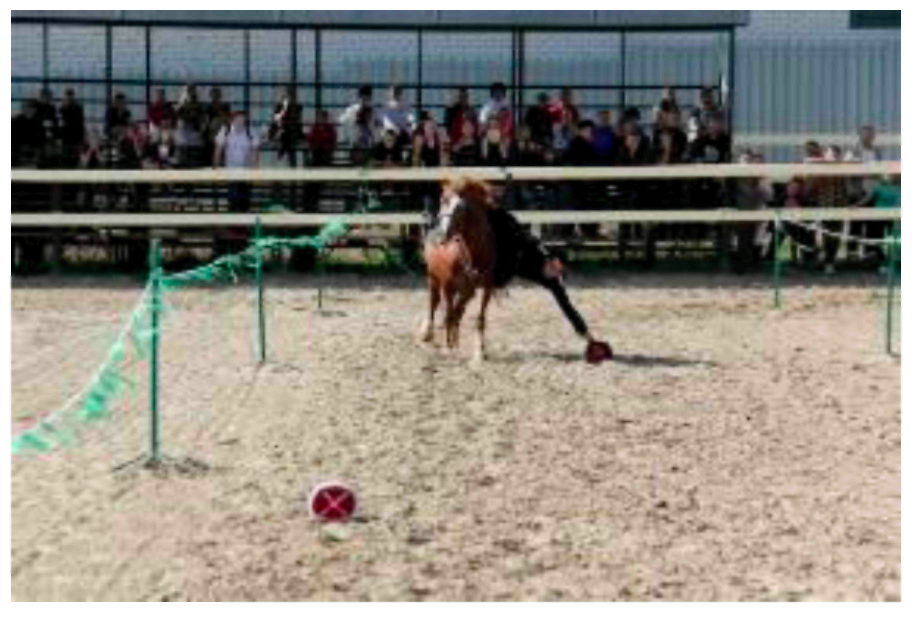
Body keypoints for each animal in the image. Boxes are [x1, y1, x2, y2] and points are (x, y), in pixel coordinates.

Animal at [419, 175, 612, 364]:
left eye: (461, 208)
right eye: (443, 201)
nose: (441, 235)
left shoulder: (485, 287)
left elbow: (477, 318)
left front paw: (479, 352)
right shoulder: (449, 285)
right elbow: (449, 312)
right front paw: (448, 347)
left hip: (464, 289)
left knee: (457, 310)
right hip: (433, 278)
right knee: (434, 304)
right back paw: (428, 334)